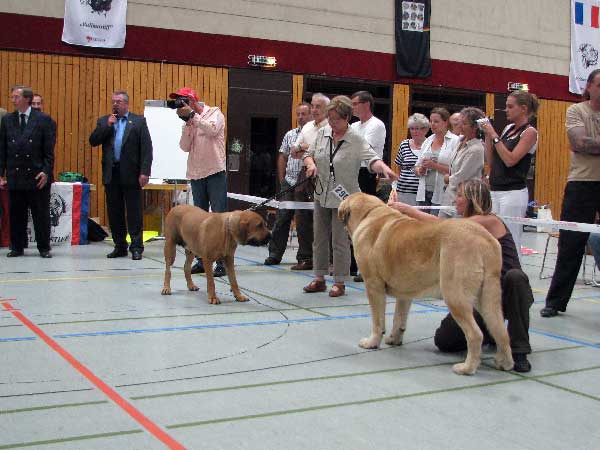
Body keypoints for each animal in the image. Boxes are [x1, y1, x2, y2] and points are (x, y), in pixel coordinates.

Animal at [340, 193, 512, 376]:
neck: (369, 213)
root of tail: (484, 238)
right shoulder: (405, 294)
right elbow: (399, 319)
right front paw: (394, 339)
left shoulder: (373, 286)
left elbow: (378, 320)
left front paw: (372, 342)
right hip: (487, 297)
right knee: (500, 331)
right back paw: (504, 363)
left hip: (455, 296)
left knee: (475, 334)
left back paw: (466, 368)